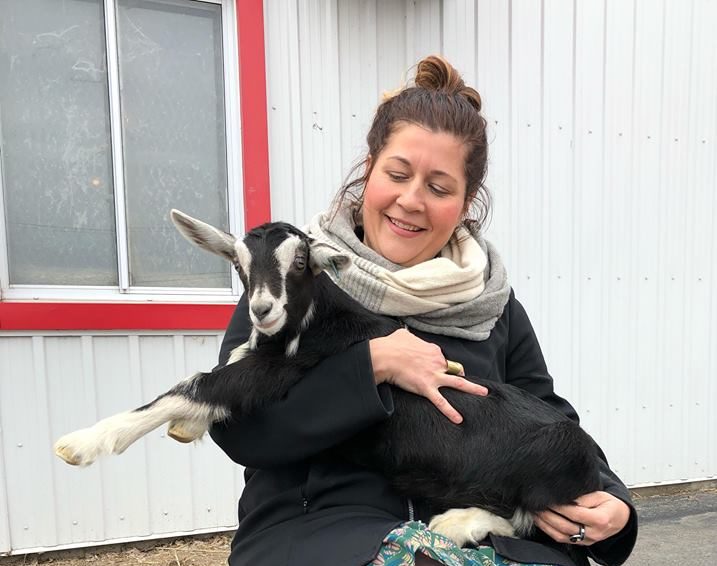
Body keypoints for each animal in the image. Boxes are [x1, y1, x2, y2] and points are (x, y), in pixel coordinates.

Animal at [54, 210, 601, 547]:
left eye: (299, 260)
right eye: (238, 264)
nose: (262, 309)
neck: (313, 322)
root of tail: (588, 469)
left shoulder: (285, 372)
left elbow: (200, 382)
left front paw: (83, 442)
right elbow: (222, 369)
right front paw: (189, 425)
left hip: (545, 466)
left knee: (525, 519)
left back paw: (455, 524)